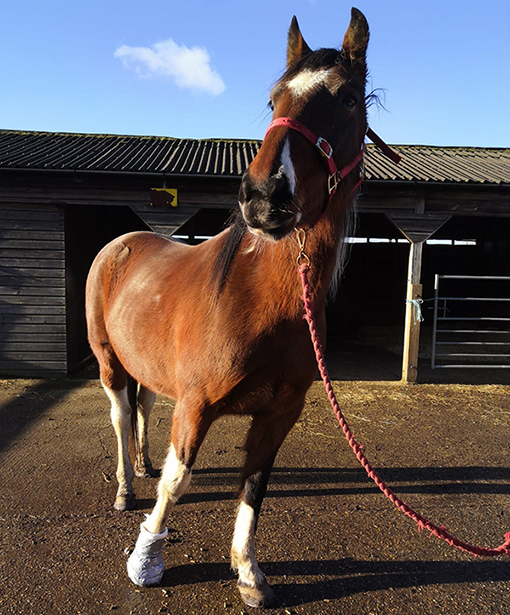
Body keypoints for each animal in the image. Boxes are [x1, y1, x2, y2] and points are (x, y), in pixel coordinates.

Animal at [84, 7, 370, 608]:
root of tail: (120, 244)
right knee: (121, 416)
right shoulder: (196, 406)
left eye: (347, 99)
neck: (260, 298)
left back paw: (142, 465)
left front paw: (248, 572)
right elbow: (179, 480)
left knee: (143, 408)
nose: (263, 196)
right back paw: (125, 487)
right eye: (274, 99)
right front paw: (146, 560)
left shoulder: (279, 414)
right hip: (108, 362)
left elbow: (253, 486)